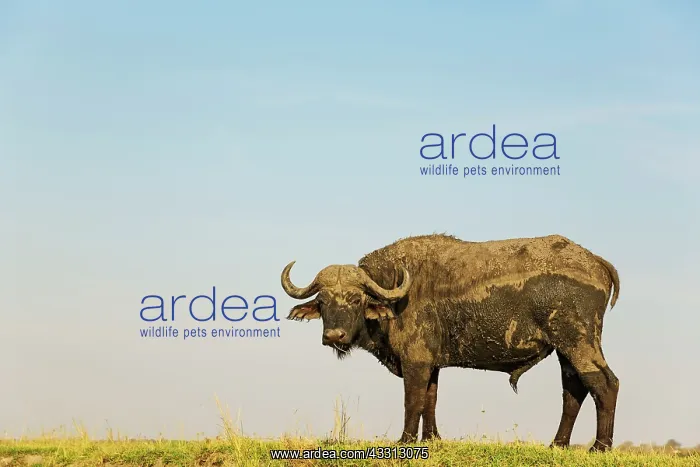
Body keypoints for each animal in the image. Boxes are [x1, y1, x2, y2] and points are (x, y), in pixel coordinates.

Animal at [281, 234, 621, 452]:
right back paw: (558, 444)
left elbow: (413, 401)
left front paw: (405, 441)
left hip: (579, 343)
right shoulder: (432, 365)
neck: (396, 293)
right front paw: (431, 438)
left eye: (355, 299)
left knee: (605, 384)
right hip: (566, 351)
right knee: (573, 391)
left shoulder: (416, 362)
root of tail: (595, 261)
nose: (333, 336)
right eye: (322, 301)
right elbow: (430, 400)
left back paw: (599, 447)